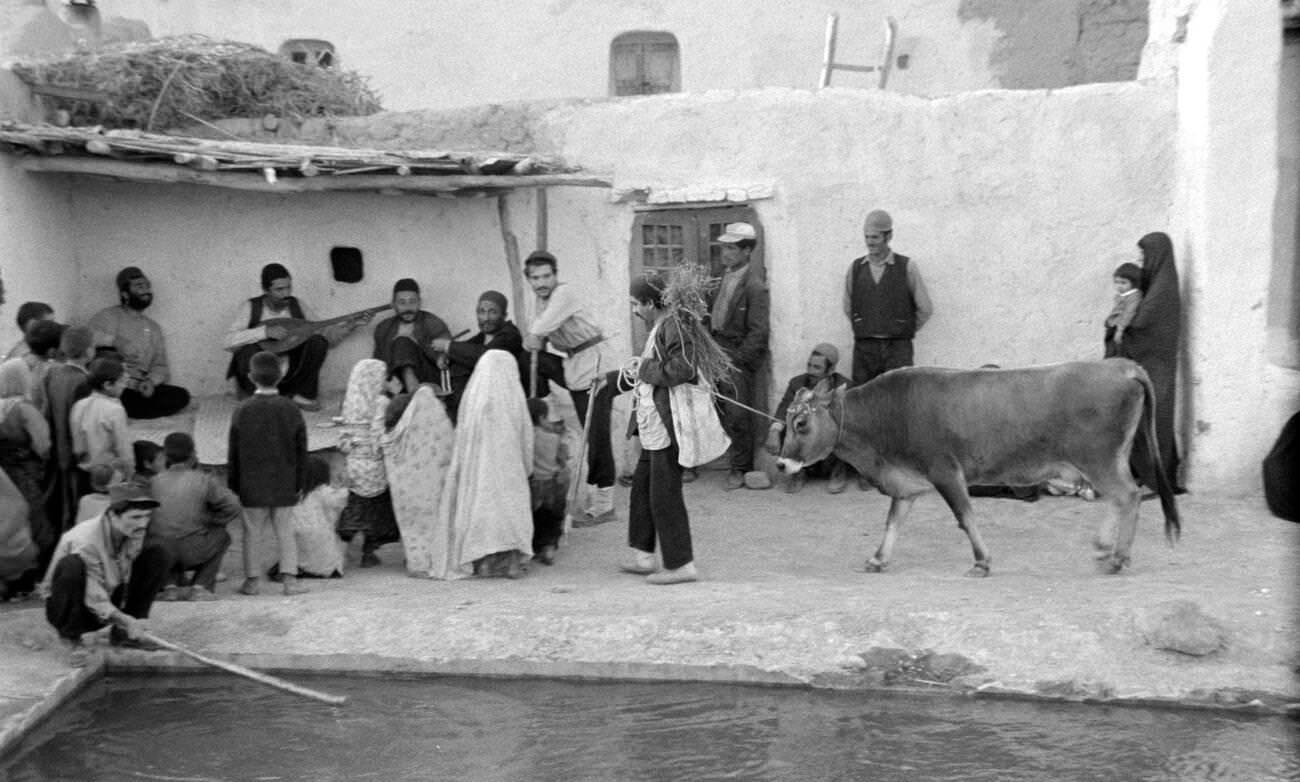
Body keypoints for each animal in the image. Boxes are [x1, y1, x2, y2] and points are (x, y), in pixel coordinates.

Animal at [774, 358, 1185, 571]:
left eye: (801, 422)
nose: (780, 463)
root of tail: (1120, 366)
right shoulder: (906, 484)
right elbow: (893, 522)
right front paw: (878, 558)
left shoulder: (945, 471)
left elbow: (965, 516)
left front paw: (982, 560)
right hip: (1103, 461)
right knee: (1118, 499)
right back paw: (1105, 548)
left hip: (1099, 459)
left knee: (1127, 496)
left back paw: (1118, 556)